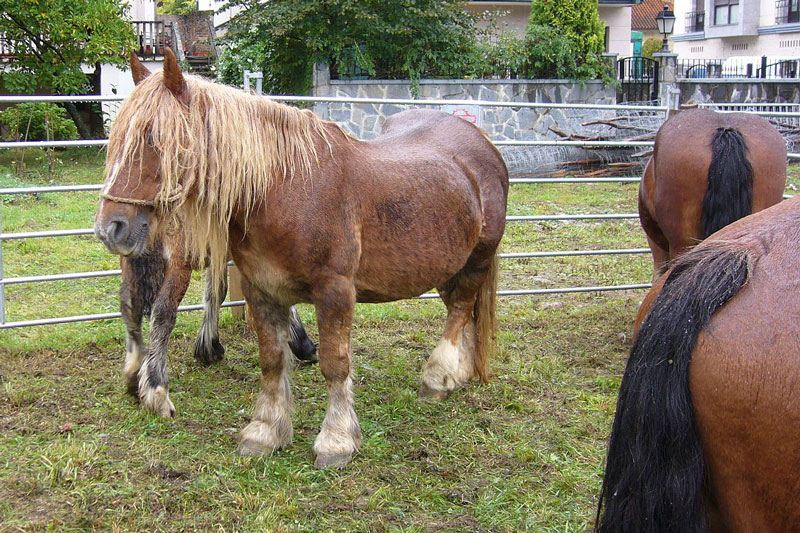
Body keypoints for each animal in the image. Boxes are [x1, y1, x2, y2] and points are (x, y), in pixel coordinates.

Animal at [119, 229, 317, 418]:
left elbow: (217, 290)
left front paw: (208, 347)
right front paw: (303, 344)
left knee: (129, 306)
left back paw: (134, 376)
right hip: (178, 260)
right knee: (162, 312)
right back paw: (156, 391)